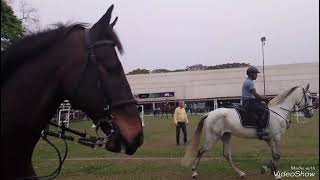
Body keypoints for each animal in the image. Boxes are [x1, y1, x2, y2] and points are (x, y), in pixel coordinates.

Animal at [182, 84, 316, 179]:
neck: (279, 111)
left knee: (226, 155)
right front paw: (272, 172)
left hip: (226, 136)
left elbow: (274, 155)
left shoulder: (270, 139)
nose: (310, 114)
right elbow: (277, 155)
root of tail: (209, 113)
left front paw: (270, 170)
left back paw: (240, 173)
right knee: (201, 151)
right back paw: (194, 173)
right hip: (212, 138)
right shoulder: (277, 137)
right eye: (309, 97)